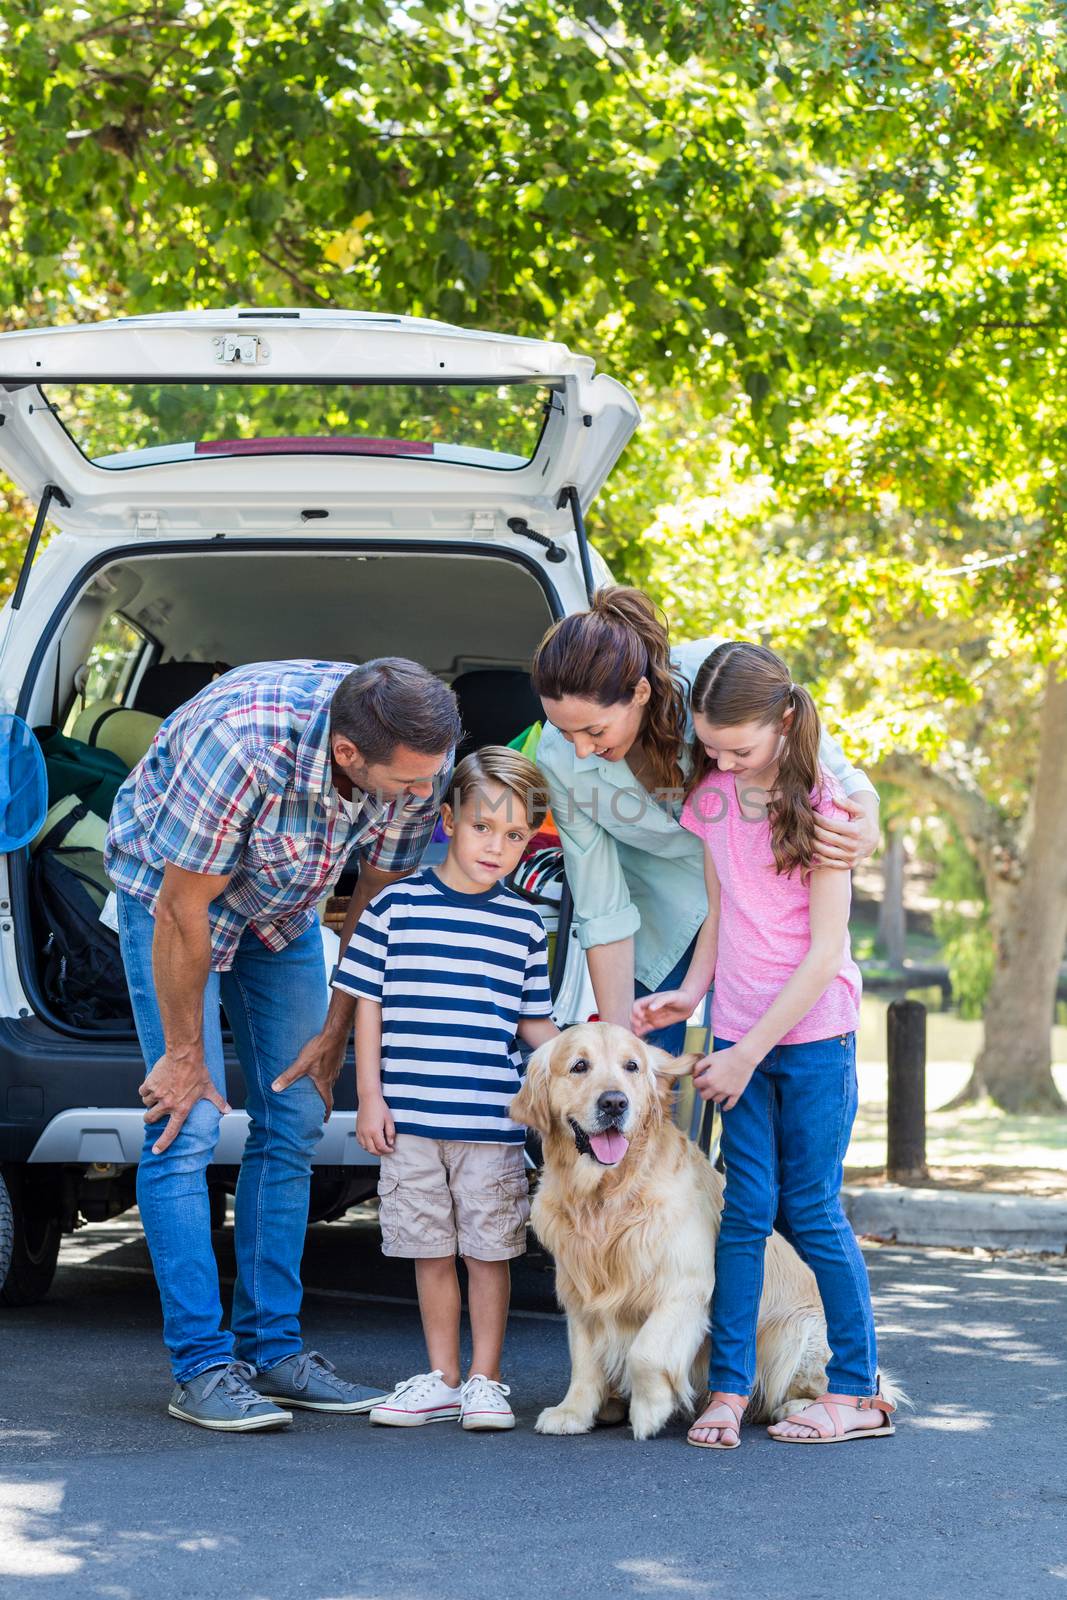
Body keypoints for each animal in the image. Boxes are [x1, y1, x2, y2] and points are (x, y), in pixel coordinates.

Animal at [511, 1024, 838, 1440]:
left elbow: (646, 1351)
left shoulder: (684, 1288)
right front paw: (573, 1412)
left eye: (632, 1066)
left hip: (798, 1332)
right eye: (579, 1066)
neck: (608, 1195)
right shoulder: (580, 1291)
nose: (614, 1103)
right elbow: (584, 1359)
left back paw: (801, 1411)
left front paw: (650, 1409)